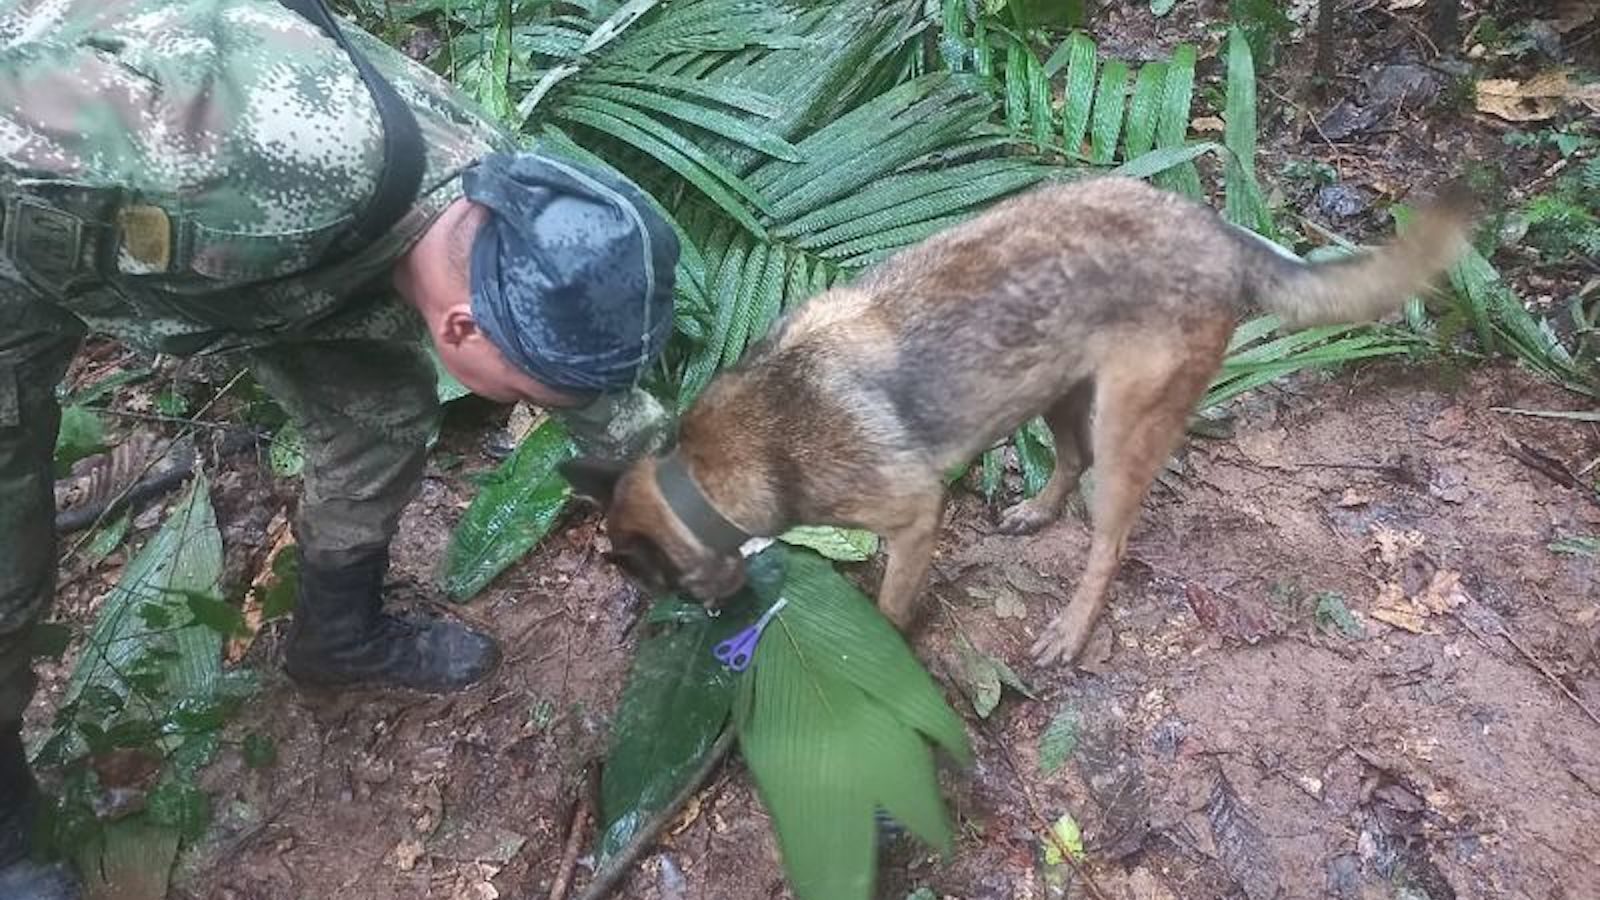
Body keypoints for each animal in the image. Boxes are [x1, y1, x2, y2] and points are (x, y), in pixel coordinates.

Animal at [563, 175, 1472, 666]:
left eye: (655, 584)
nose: (714, 623)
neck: (706, 472)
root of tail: (1216, 230)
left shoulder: (914, 514)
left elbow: (890, 605)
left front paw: (883, 648)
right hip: (1055, 390)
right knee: (1067, 463)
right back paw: (1036, 511)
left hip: (1124, 426)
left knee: (1109, 540)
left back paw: (1071, 627)